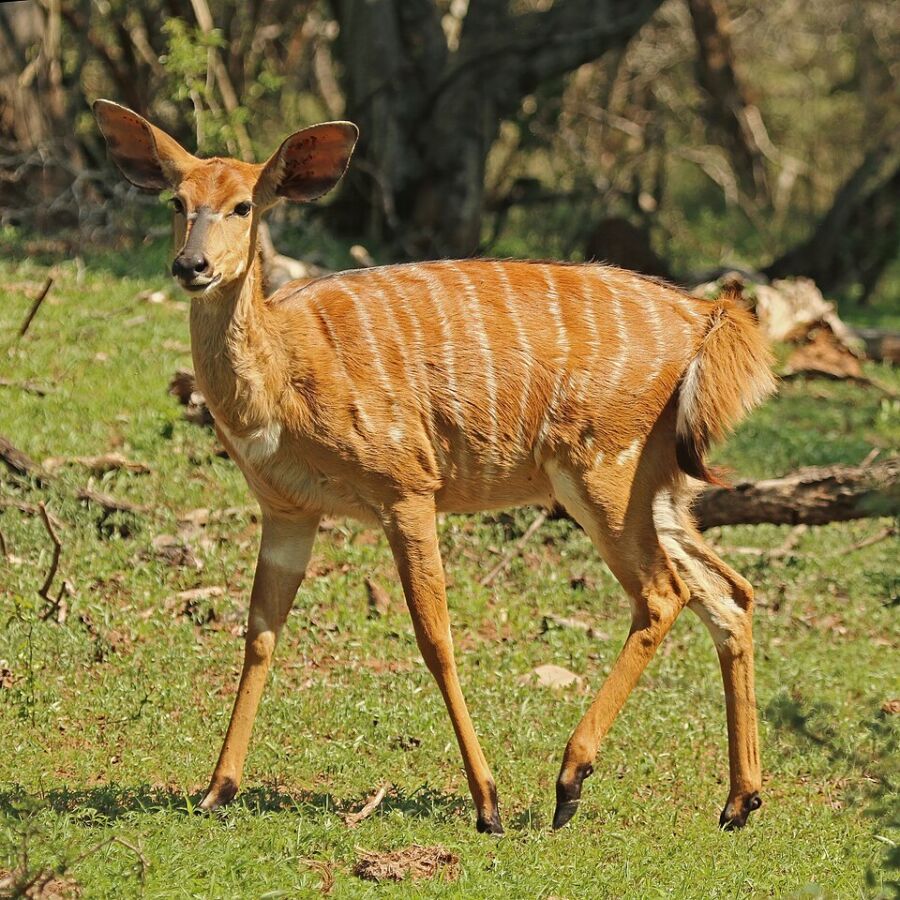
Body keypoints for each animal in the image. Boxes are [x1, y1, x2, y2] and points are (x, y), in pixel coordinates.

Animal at [93, 99, 775, 835]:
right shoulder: (287, 511)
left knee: (662, 593)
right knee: (729, 592)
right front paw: (217, 789)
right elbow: (259, 632)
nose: (190, 265)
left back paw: (569, 782)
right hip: (658, 488)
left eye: (245, 204)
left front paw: (488, 804)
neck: (285, 375)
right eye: (177, 199)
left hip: (600, 472)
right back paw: (738, 801)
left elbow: (435, 637)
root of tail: (711, 317)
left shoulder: (407, 488)